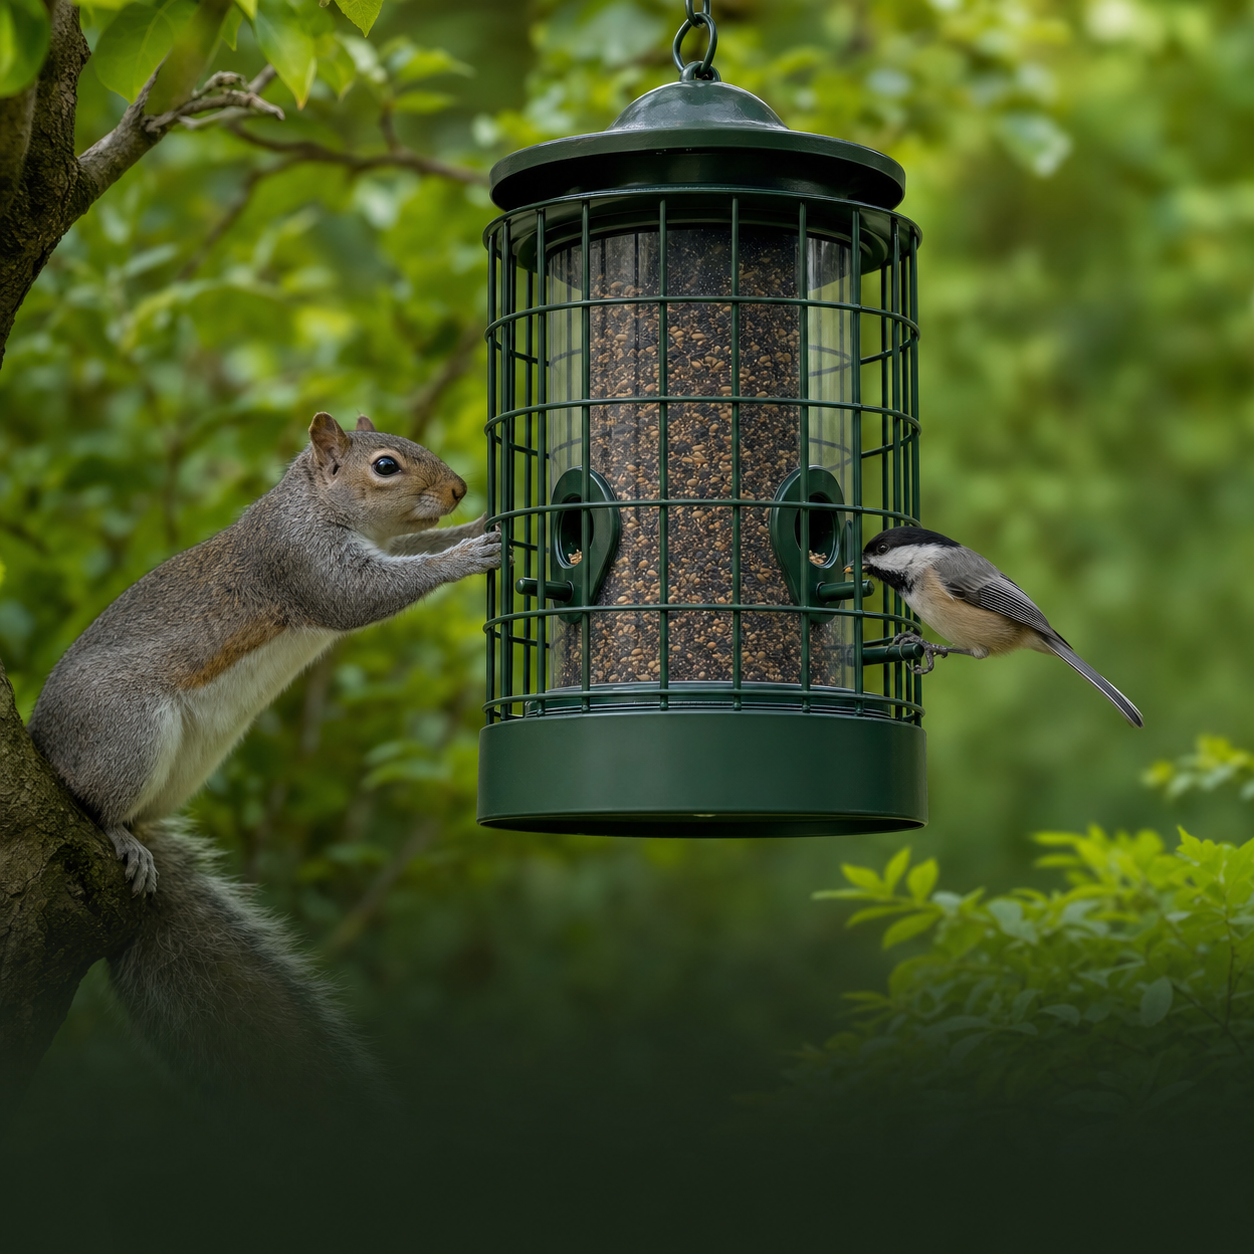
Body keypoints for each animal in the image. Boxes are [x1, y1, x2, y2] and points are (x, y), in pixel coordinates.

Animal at [26, 412, 500, 1106]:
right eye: (386, 465)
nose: (462, 489)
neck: (312, 504)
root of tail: (44, 745)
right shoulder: (302, 562)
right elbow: (365, 596)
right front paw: (466, 556)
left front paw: (485, 526)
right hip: (124, 731)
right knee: (98, 804)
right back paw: (120, 836)